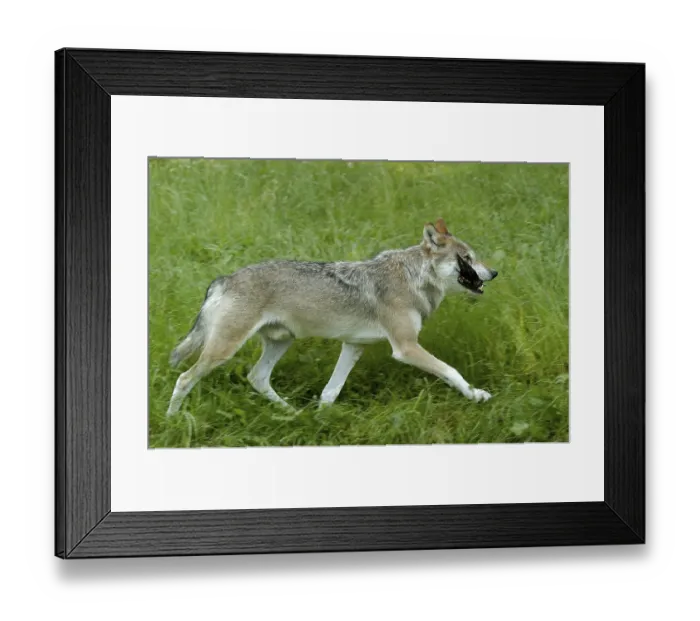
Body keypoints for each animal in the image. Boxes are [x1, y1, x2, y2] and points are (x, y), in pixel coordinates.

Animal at [166, 218, 498, 417]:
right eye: (467, 258)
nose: (494, 273)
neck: (413, 277)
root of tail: (224, 279)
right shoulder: (405, 348)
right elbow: (451, 371)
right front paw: (477, 395)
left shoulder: (353, 346)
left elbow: (330, 391)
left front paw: (320, 421)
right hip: (224, 350)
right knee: (184, 378)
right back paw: (173, 420)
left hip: (280, 343)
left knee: (257, 377)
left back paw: (293, 414)